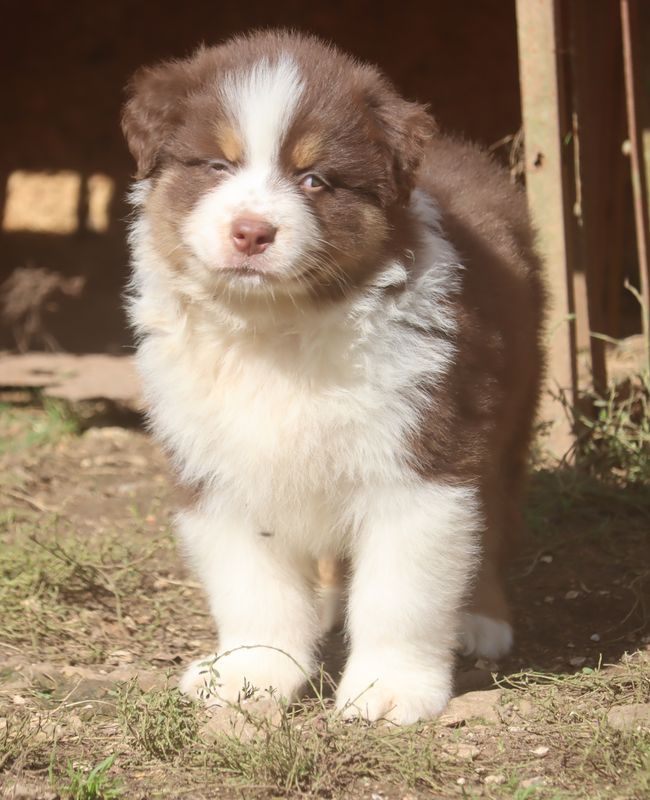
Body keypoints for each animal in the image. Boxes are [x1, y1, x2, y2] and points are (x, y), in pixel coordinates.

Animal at [120, 29, 540, 724]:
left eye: (314, 179)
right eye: (217, 167)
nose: (252, 232)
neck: (276, 331)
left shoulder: (421, 460)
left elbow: (401, 593)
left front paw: (389, 689)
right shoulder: (218, 466)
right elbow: (254, 587)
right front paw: (250, 674)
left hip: (506, 417)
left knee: (496, 519)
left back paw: (482, 620)